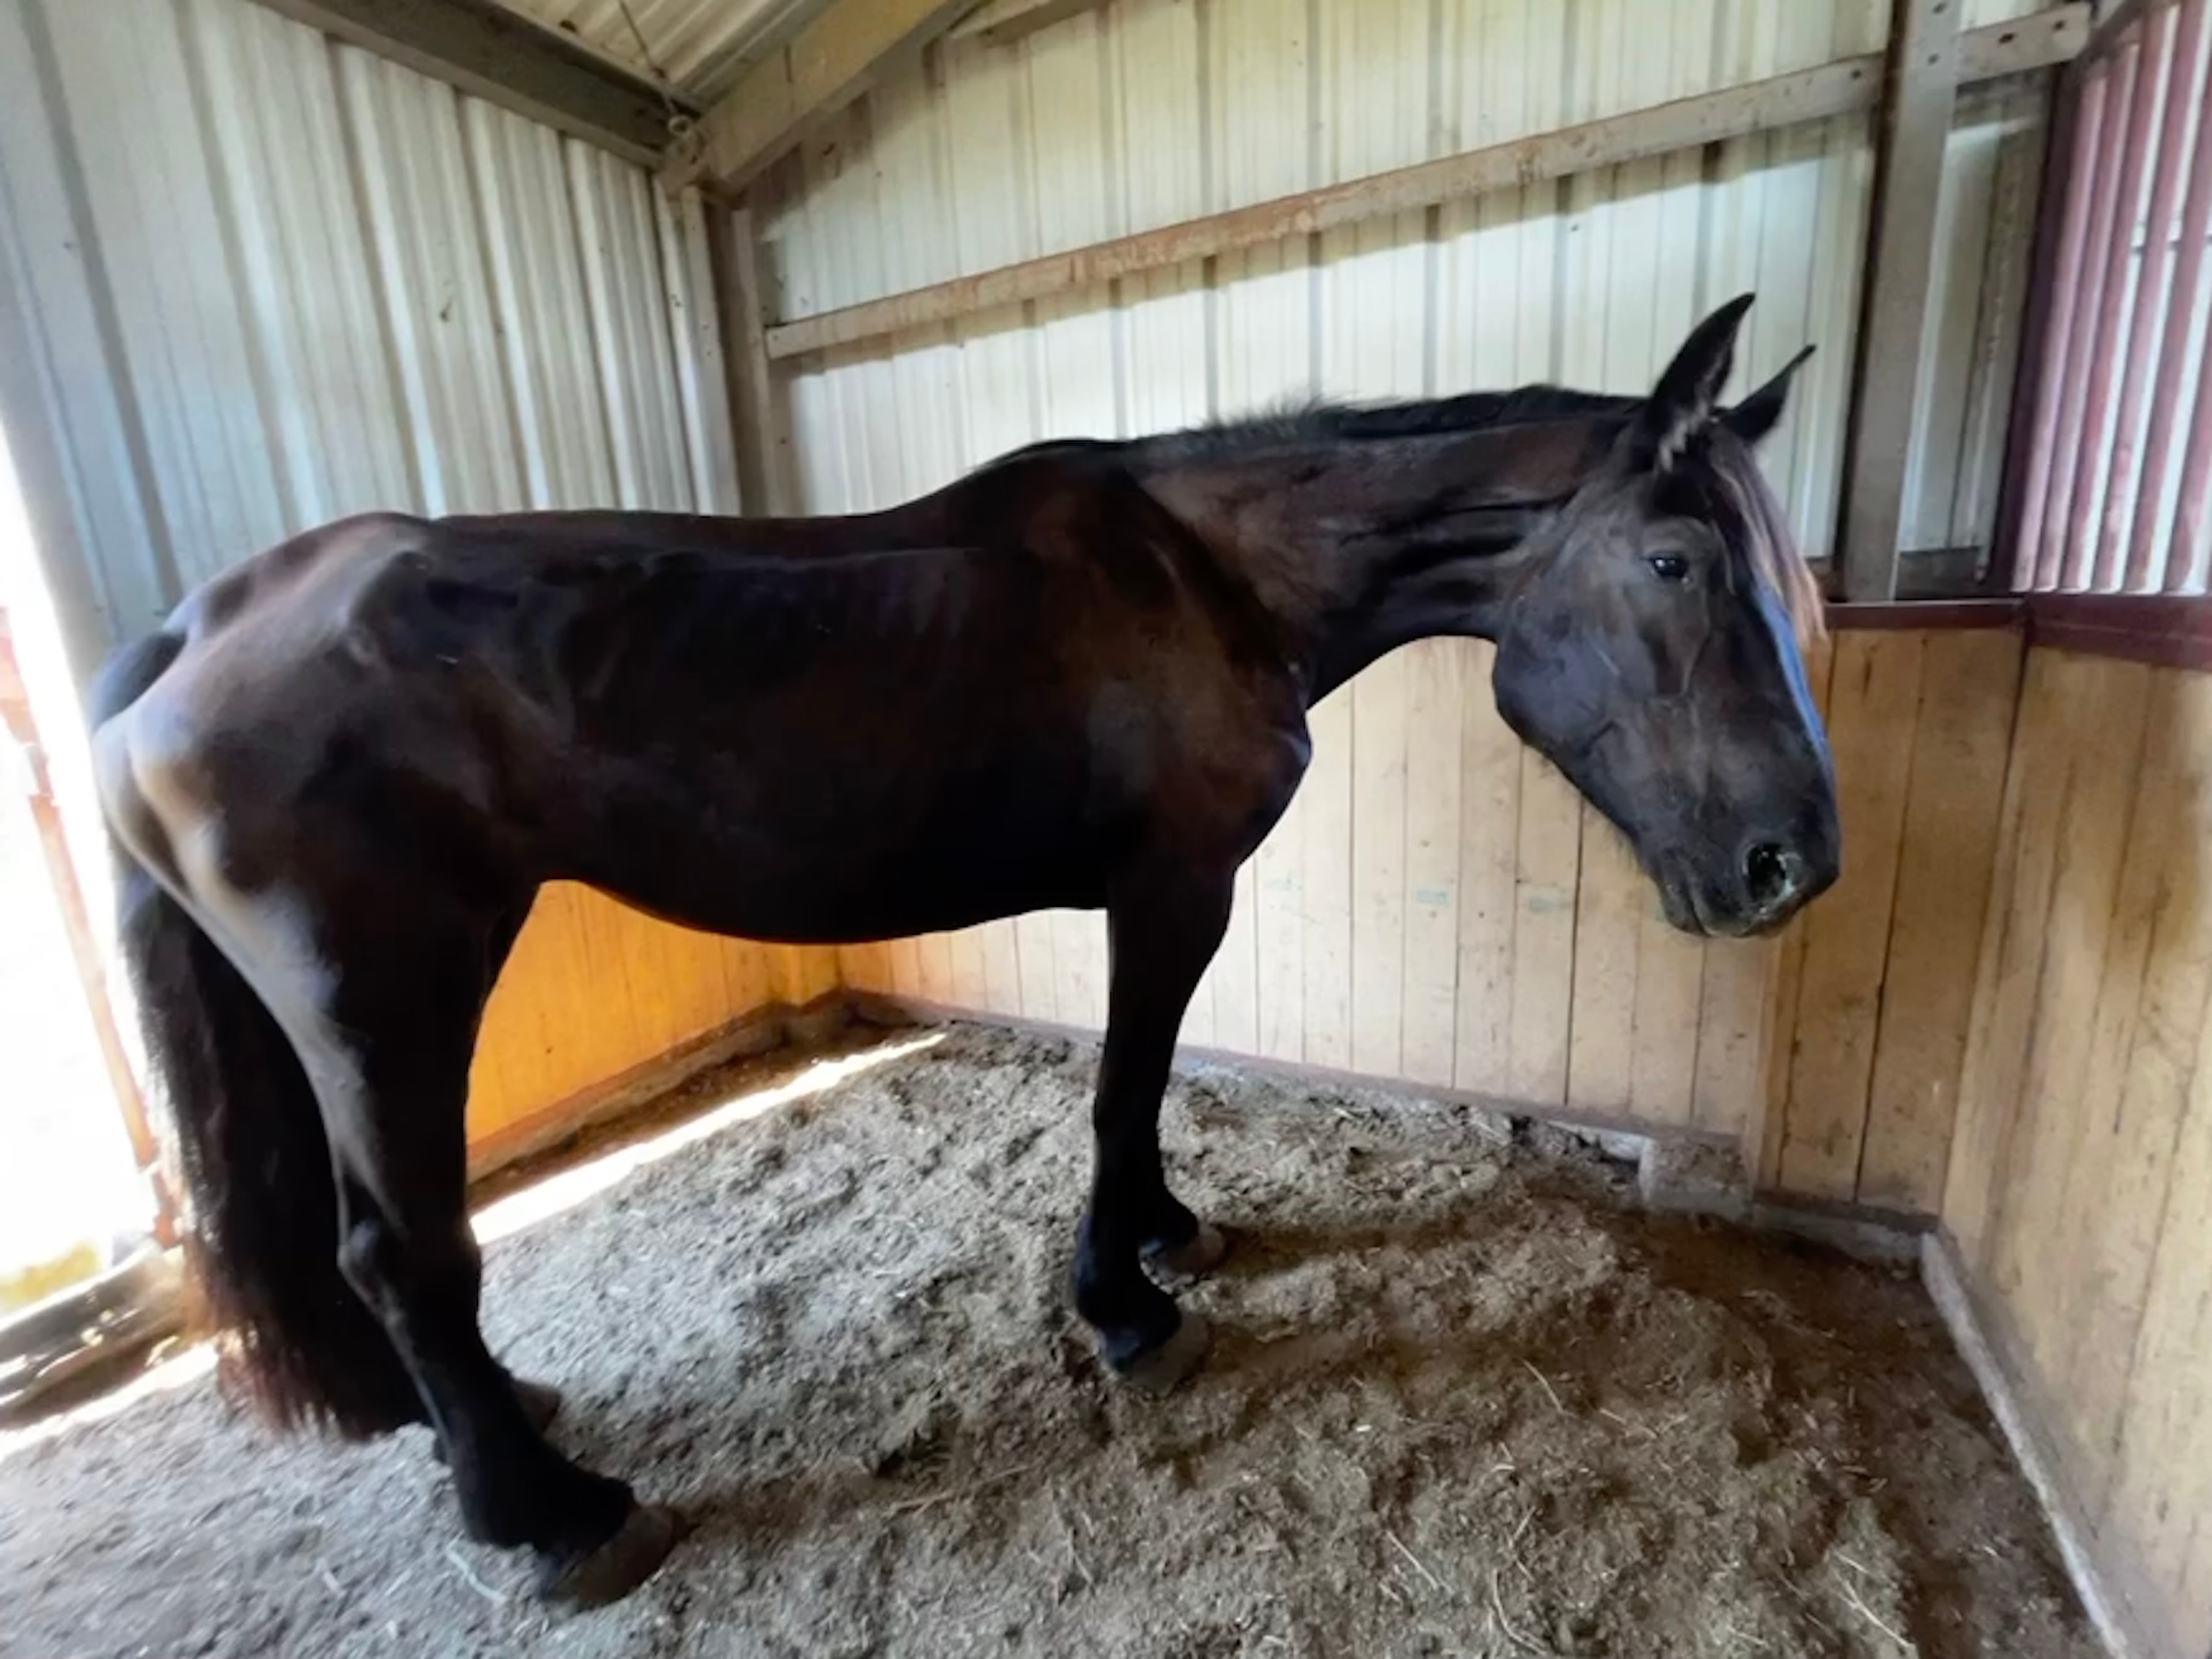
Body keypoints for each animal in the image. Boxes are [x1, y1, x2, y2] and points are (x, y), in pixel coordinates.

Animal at [87, 292, 1837, 1606]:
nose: (1792, 864)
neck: (1212, 578)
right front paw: (1125, 1307)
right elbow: (1123, 1090)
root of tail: (189, 633)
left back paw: (475, 1429)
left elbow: (1148, 1093)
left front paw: (1166, 1242)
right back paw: (555, 1515)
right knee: (402, 1252)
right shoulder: (1170, 889)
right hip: (384, 996)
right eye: (1678, 561)